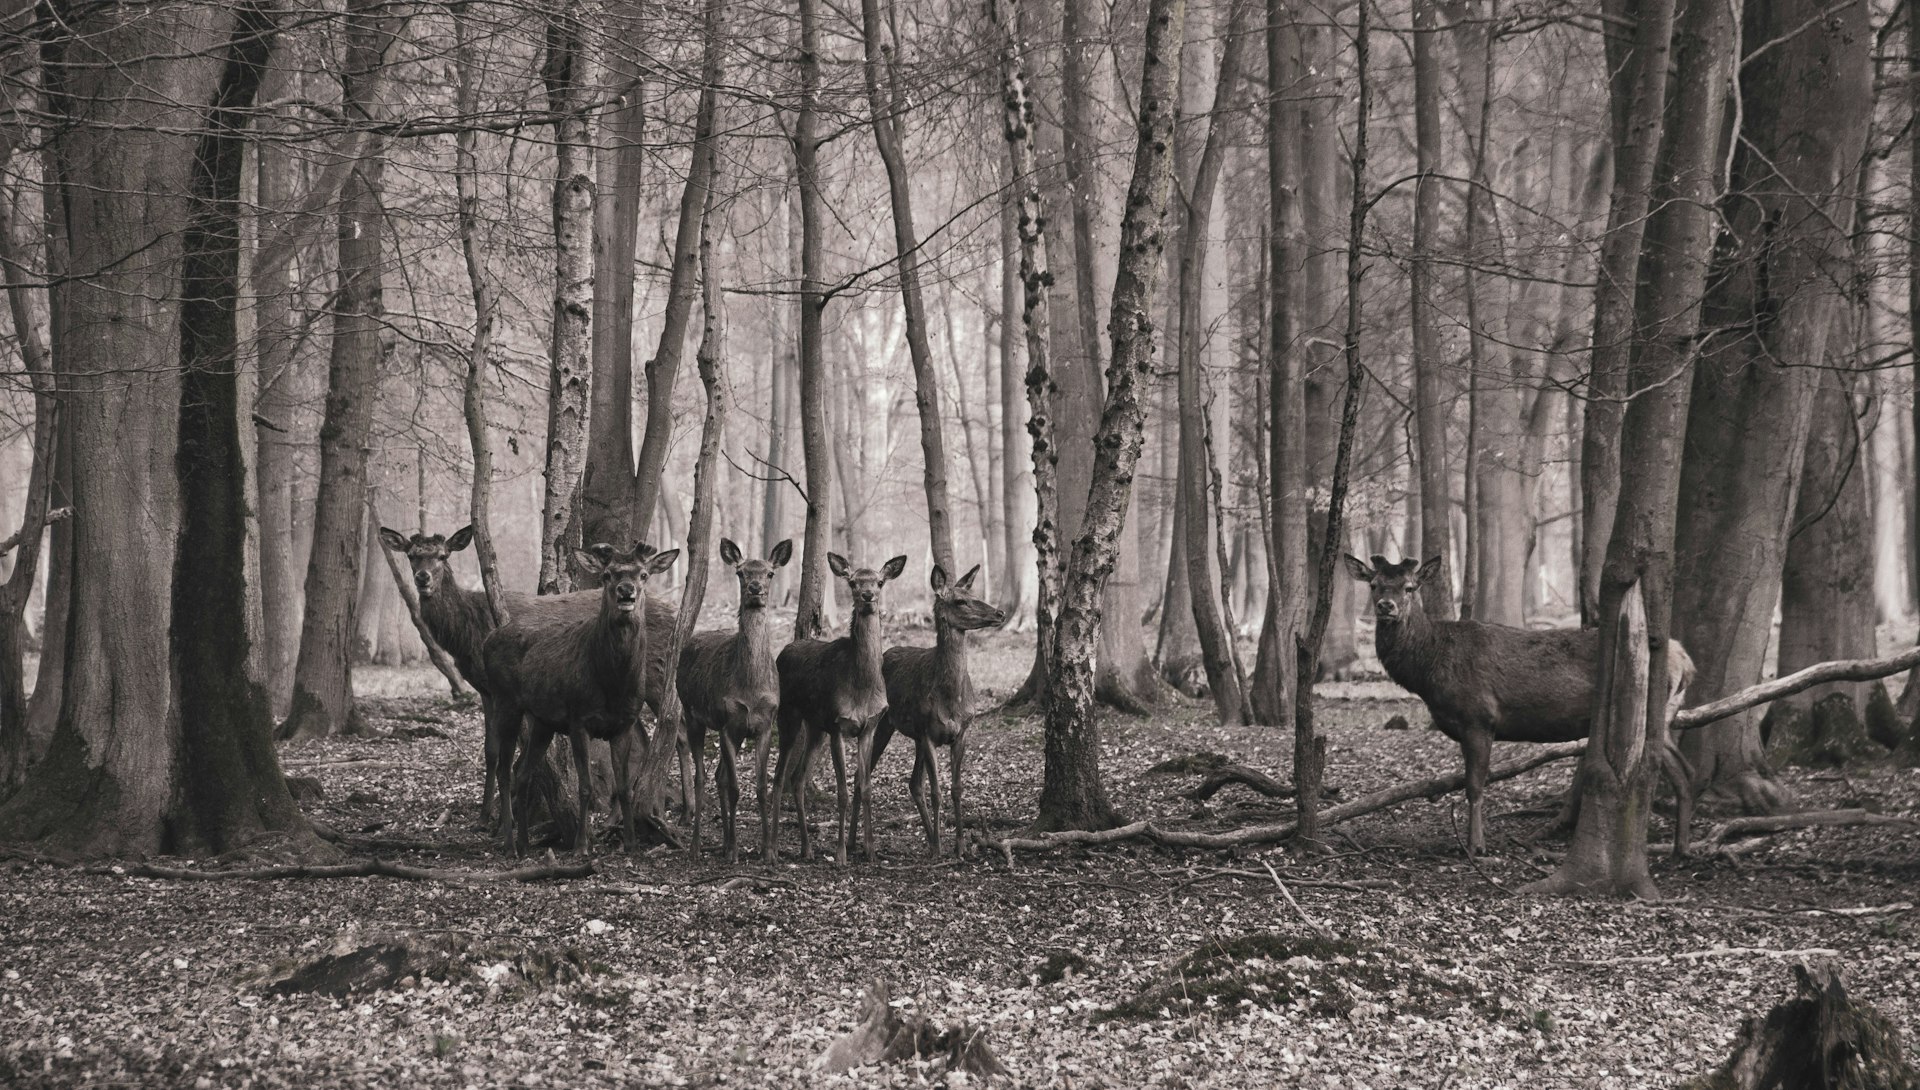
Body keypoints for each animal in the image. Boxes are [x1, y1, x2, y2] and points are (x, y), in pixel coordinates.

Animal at [483, 541, 679, 855]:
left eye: (644, 574)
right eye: (607, 575)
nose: (626, 591)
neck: (612, 685)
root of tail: (486, 641)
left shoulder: (623, 724)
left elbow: (624, 786)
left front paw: (631, 843)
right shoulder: (579, 719)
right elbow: (585, 786)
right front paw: (581, 845)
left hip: (542, 721)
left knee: (523, 773)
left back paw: (525, 843)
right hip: (505, 702)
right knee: (504, 771)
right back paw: (510, 844)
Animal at [679, 537, 791, 859]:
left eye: (770, 573)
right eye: (741, 573)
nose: (755, 588)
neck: (750, 689)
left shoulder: (764, 724)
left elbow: (761, 787)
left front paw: (768, 851)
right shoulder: (727, 722)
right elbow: (735, 787)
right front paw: (735, 853)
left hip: (738, 730)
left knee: (718, 775)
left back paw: (726, 841)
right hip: (691, 712)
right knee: (703, 777)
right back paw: (697, 846)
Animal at [771, 556, 906, 863]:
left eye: (880, 581)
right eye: (853, 582)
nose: (867, 596)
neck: (862, 687)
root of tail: (783, 651)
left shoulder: (869, 727)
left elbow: (865, 787)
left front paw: (870, 850)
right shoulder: (838, 725)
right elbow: (842, 791)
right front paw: (842, 853)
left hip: (815, 727)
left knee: (797, 778)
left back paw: (807, 848)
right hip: (789, 716)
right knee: (779, 775)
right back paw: (769, 848)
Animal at [860, 568, 1006, 855]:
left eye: (972, 593)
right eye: (960, 601)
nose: (1000, 613)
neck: (951, 698)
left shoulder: (961, 731)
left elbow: (956, 788)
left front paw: (960, 845)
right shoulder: (928, 733)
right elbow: (936, 791)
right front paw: (942, 846)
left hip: (916, 736)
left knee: (914, 783)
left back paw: (929, 838)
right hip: (885, 724)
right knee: (867, 772)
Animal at [1351, 556, 1697, 855]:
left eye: (1410, 587)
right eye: (1374, 585)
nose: (1386, 606)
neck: (1430, 672)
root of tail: (1686, 662)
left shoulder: (1479, 717)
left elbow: (1475, 785)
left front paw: (1476, 846)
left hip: (1655, 712)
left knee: (1675, 769)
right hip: (1667, 714)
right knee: (1685, 773)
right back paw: (1681, 846)